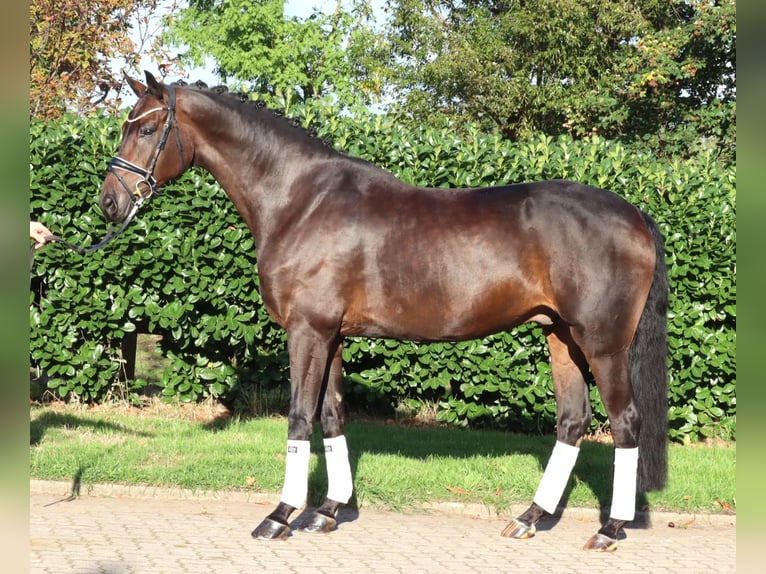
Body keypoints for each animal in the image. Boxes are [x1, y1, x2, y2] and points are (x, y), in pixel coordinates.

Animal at [99, 71, 668, 552]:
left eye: (146, 128)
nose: (109, 203)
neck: (299, 200)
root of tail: (635, 215)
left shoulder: (307, 332)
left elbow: (300, 416)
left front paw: (281, 515)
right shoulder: (332, 335)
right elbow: (332, 414)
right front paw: (327, 510)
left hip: (602, 343)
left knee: (625, 422)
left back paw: (610, 529)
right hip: (560, 336)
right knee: (573, 420)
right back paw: (529, 517)